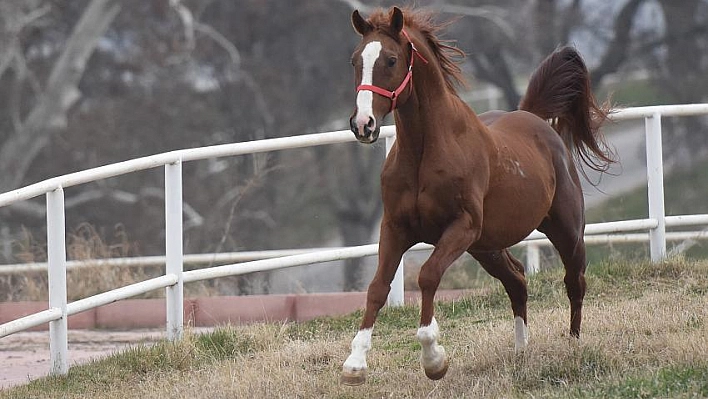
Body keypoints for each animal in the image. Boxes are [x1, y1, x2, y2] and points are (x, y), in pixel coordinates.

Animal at [340, 7, 612, 388]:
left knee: (574, 282)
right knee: (517, 281)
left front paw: (434, 360)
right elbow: (378, 287)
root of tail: (534, 118)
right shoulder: (395, 228)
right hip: (487, 247)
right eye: (355, 60)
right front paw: (355, 364)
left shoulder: (462, 227)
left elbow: (427, 276)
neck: (425, 151)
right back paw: (520, 351)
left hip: (566, 232)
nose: (363, 124)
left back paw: (572, 345)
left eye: (391, 60)